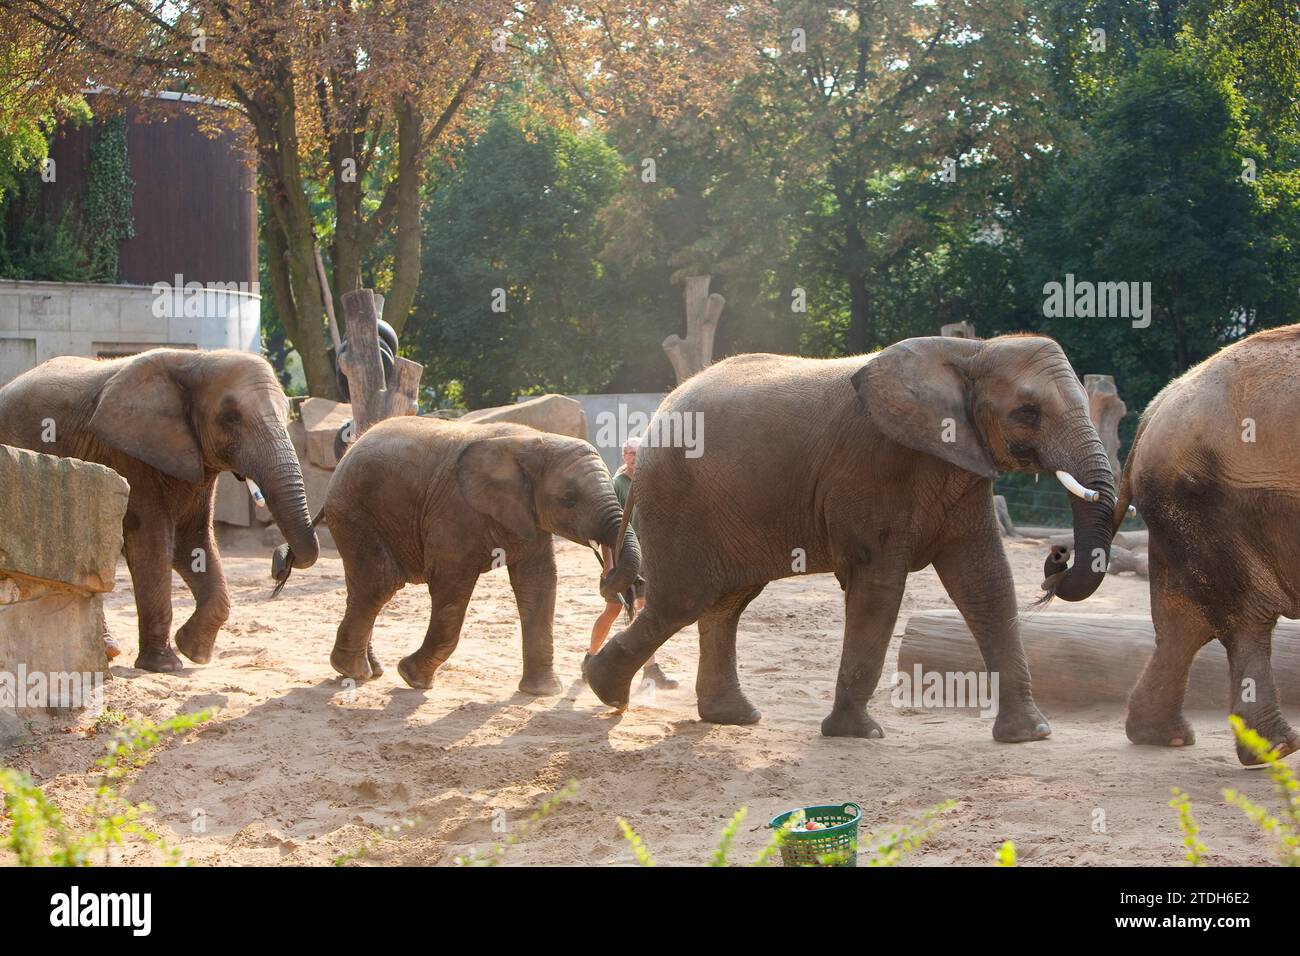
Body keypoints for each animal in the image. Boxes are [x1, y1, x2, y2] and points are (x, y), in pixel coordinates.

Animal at [0, 348, 319, 671]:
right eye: (230, 417)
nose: (279, 565)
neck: (197, 360)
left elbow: (192, 542)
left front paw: (193, 652)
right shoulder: (130, 453)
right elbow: (151, 543)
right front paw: (165, 665)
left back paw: (109, 651)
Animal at [291, 418, 644, 697]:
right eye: (569, 500)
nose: (613, 580)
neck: (532, 441)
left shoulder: (528, 517)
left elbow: (539, 583)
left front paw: (542, 692)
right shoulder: (453, 510)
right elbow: (451, 585)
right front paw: (413, 678)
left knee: (373, 587)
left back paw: (368, 670)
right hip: (355, 511)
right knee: (379, 585)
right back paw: (354, 672)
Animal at [582, 335, 1118, 749]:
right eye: (1027, 412)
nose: (1055, 560)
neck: (970, 351)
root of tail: (657, 413)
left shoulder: (963, 470)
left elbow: (986, 580)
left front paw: (1030, 735)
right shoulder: (873, 468)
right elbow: (879, 585)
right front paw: (859, 734)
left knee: (724, 603)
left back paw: (729, 716)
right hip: (677, 496)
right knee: (682, 601)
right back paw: (605, 690)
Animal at [1112, 325, 1300, 764]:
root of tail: (1156, 405)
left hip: (1179, 507)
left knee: (1181, 620)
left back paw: (1163, 736)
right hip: (1203, 498)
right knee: (1244, 616)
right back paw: (1276, 748)